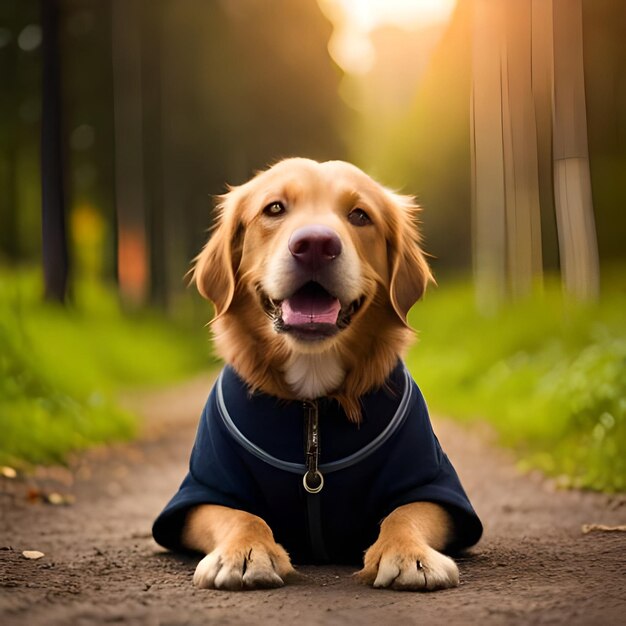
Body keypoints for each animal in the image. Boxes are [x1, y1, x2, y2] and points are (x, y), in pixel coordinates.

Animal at [152, 158, 482, 588]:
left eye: (360, 215)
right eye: (274, 208)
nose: (315, 245)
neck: (311, 391)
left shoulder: (432, 482)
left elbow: (404, 514)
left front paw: (410, 555)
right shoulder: (204, 489)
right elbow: (242, 515)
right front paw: (246, 553)